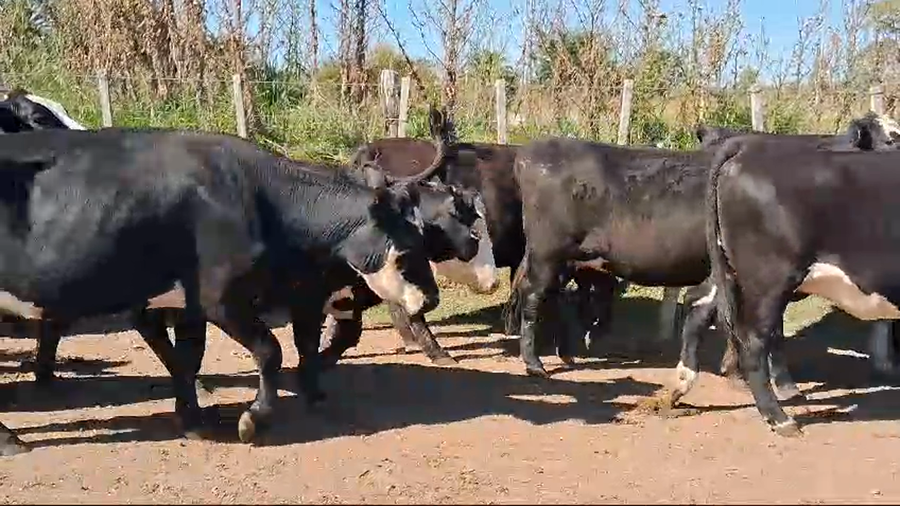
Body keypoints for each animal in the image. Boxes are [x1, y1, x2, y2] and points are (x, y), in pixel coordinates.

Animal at [0, 127, 439, 455]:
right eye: (408, 250)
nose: (433, 298)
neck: (256, 198)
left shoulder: (188, 304)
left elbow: (187, 361)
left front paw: (193, 421)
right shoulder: (221, 298)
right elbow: (270, 351)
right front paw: (254, 419)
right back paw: (11, 439)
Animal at [683, 135, 900, 437]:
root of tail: (749, 146)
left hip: (731, 272)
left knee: (703, 304)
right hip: (769, 279)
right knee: (753, 341)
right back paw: (779, 418)